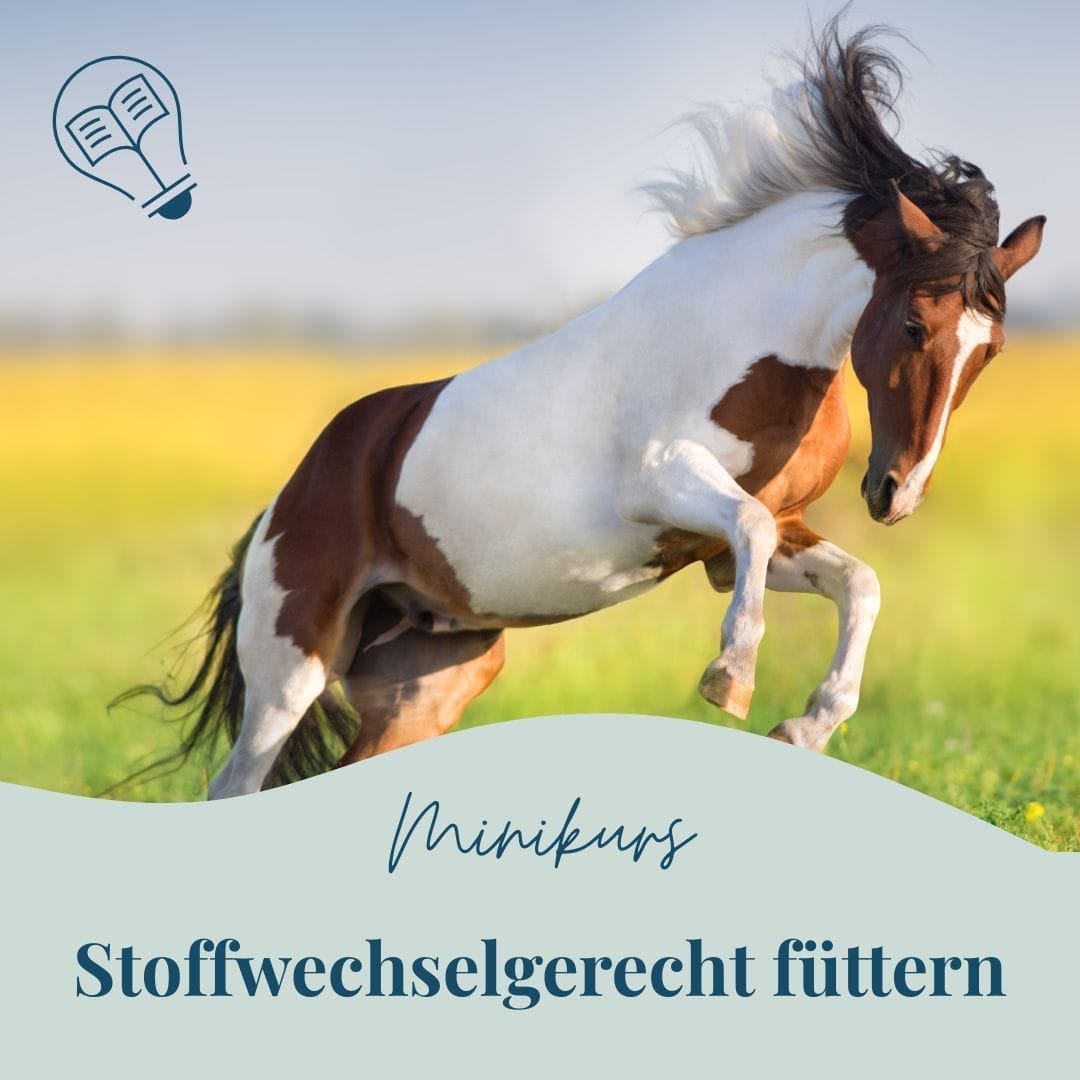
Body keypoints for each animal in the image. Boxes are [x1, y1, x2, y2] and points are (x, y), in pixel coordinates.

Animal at [123, 21, 1045, 798]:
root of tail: (292, 494)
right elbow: (751, 529)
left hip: (430, 678)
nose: (897, 493)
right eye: (915, 322)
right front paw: (730, 681)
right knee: (235, 784)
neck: (751, 334)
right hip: (292, 667)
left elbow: (859, 584)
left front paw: (805, 728)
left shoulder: (746, 544)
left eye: (989, 350)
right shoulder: (667, 483)